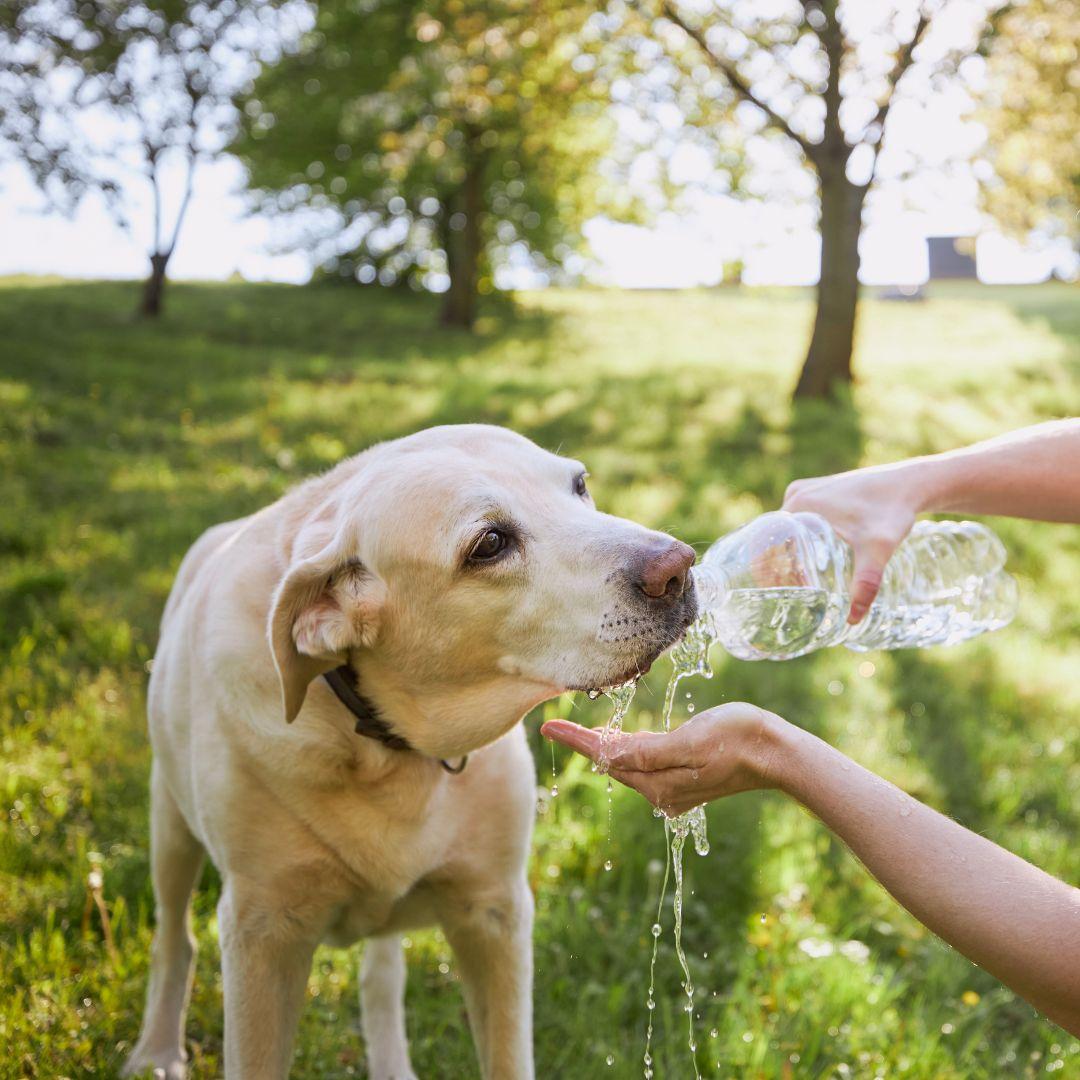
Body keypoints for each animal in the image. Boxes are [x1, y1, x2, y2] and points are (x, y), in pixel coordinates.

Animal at [122, 425, 695, 1075]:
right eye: (490, 543)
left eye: (579, 486)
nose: (678, 569)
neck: (381, 745)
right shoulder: (262, 931)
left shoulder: (494, 913)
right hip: (170, 826)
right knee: (174, 936)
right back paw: (155, 1050)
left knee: (380, 979)